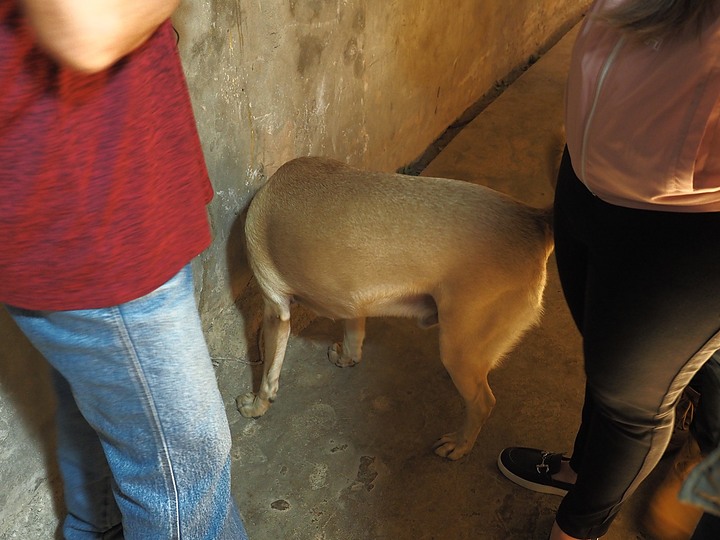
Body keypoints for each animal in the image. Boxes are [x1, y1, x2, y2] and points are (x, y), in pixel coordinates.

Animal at [239, 156, 556, 460]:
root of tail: (536, 221)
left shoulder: (276, 309)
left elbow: (268, 377)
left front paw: (255, 406)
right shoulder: (353, 300)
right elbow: (354, 336)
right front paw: (347, 357)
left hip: (459, 350)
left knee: (483, 403)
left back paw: (460, 444)